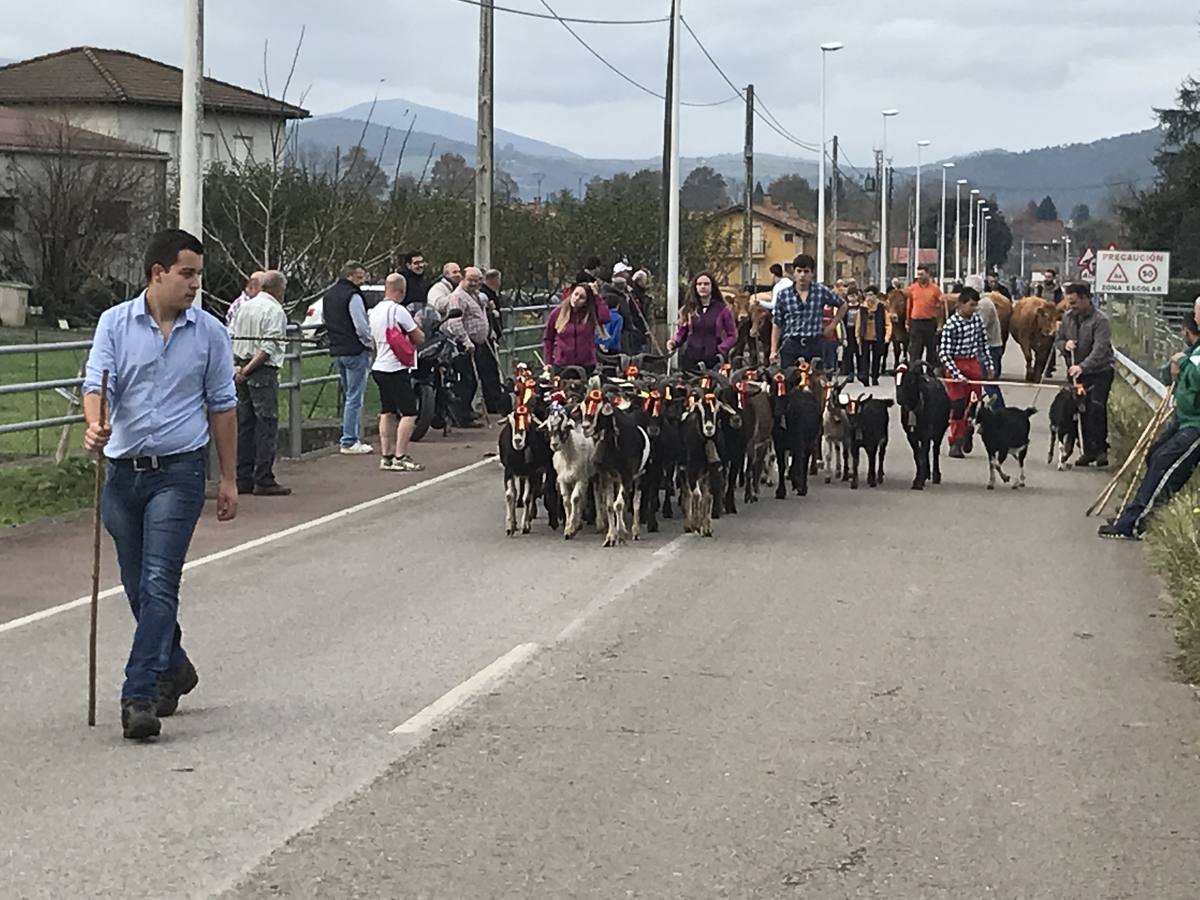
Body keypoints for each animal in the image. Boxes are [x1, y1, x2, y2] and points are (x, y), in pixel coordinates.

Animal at [897, 362, 950, 494]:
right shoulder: (910, 435)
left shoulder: (927, 433)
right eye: (896, 377)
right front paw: (919, 478)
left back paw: (936, 475)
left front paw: (918, 482)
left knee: (935, 450)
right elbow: (918, 456)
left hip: (939, 431)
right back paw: (926, 473)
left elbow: (923, 454)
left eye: (910, 380)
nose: (899, 397)